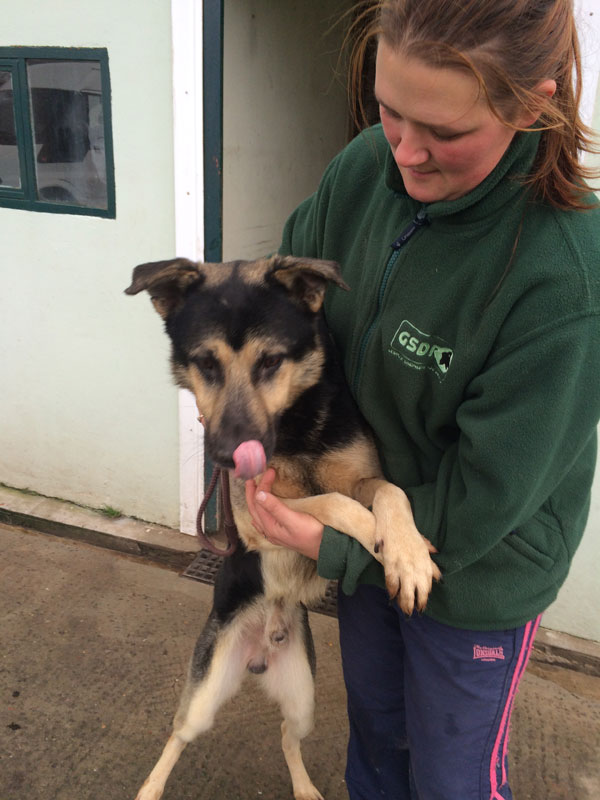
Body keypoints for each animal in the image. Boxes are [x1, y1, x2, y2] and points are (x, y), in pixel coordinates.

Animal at [125, 256, 440, 800]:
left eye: (271, 362)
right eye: (206, 363)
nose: (227, 457)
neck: (296, 427)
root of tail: (259, 646)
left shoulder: (361, 478)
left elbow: (389, 493)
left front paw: (407, 553)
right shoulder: (260, 517)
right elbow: (333, 503)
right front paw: (382, 542)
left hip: (303, 699)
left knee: (285, 734)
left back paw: (304, 788)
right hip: (206, 693)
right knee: (178, 733)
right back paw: (151, 788)